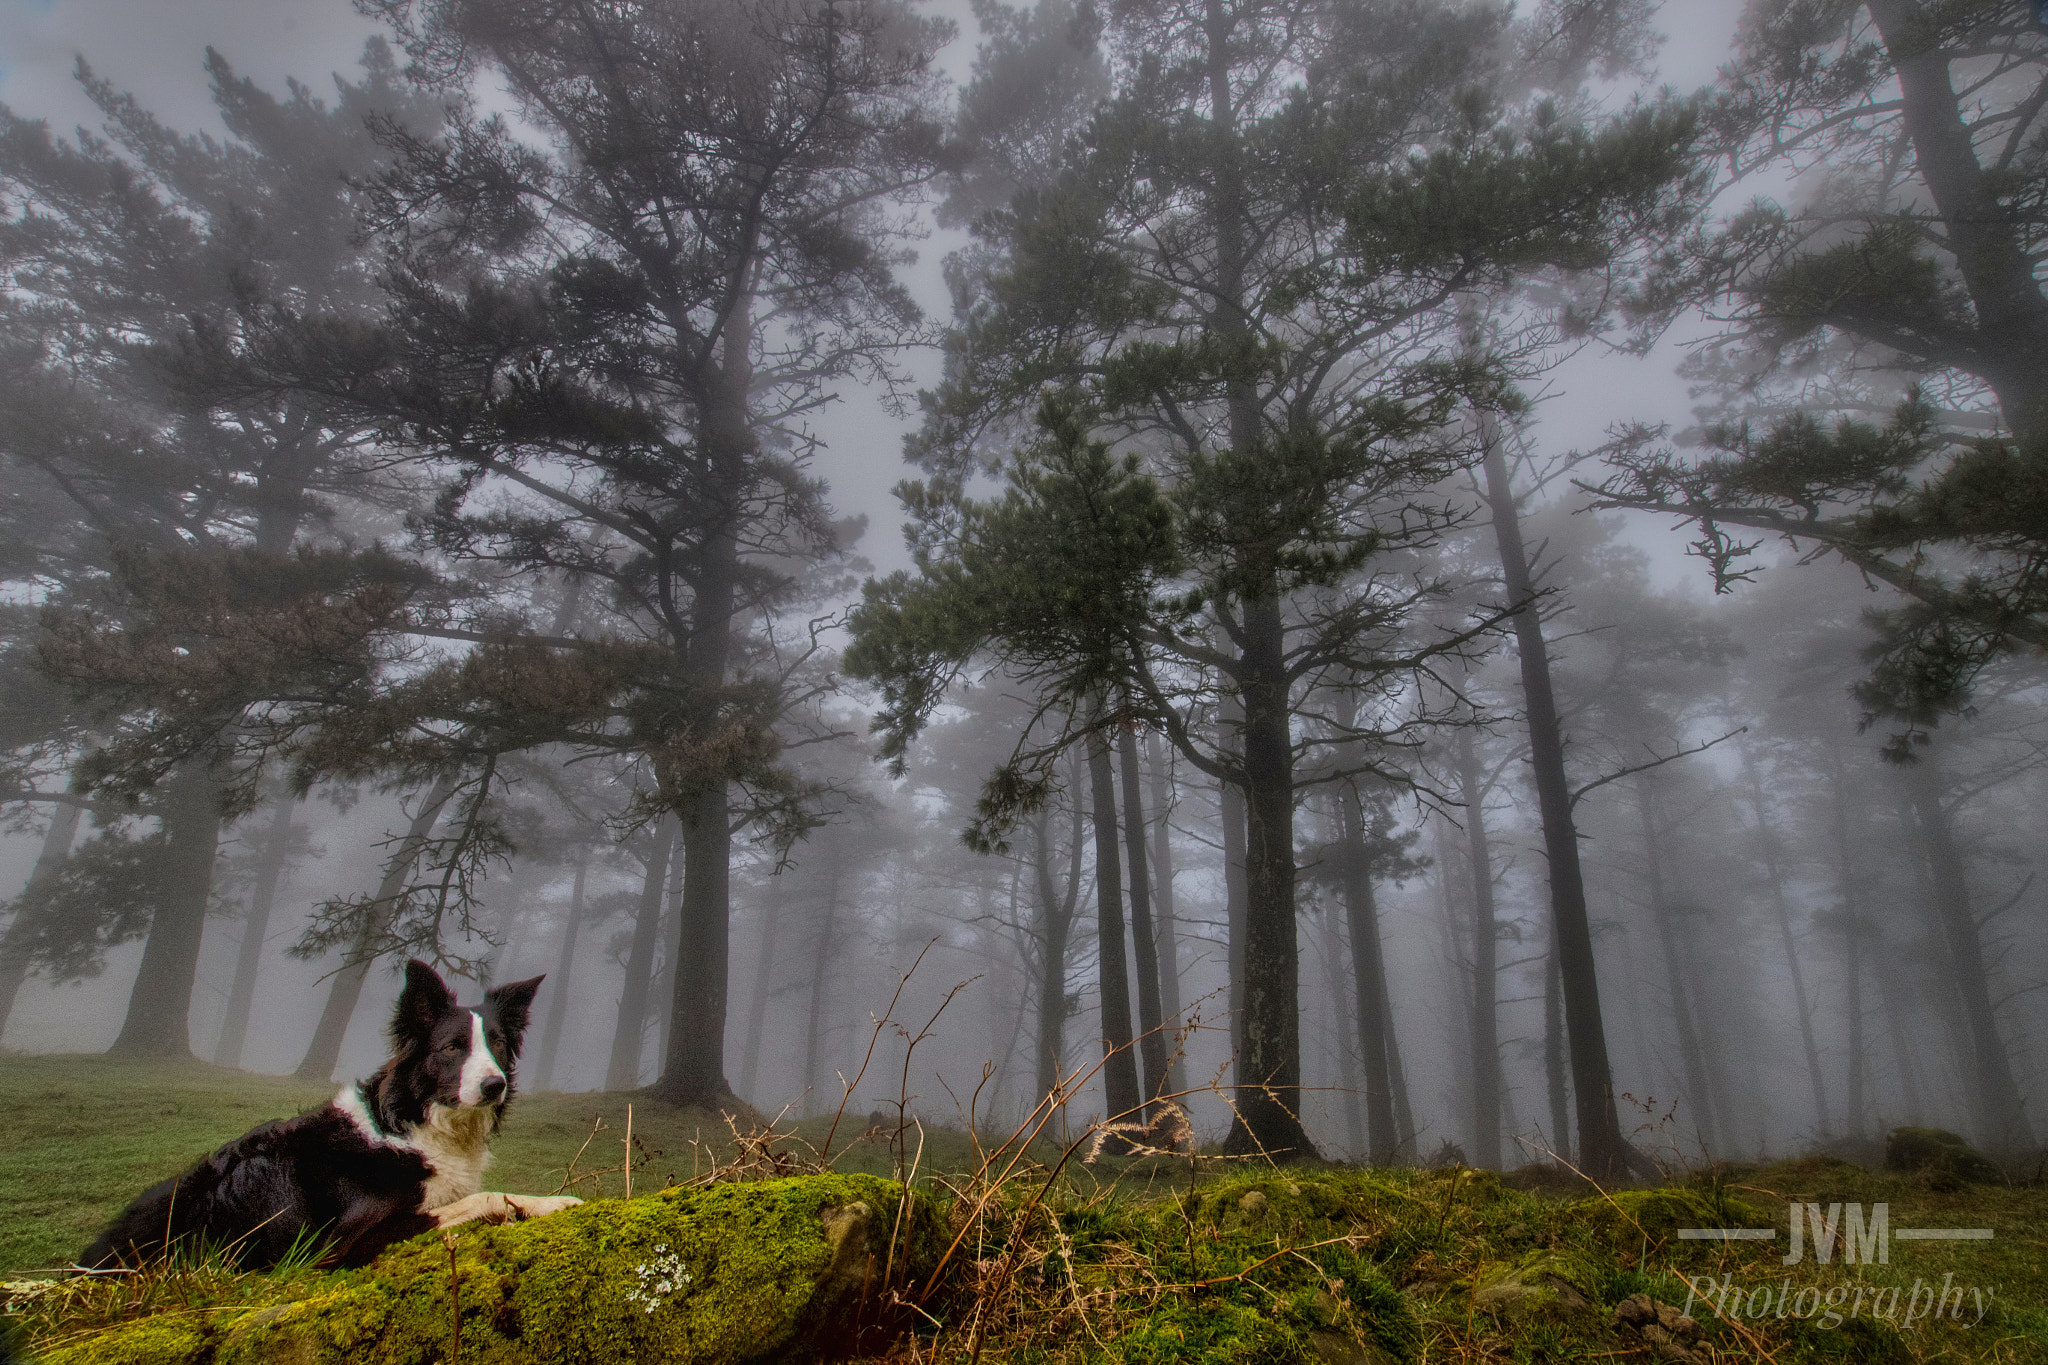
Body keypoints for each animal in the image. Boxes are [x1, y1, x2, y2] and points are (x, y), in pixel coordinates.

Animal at [76, 961, 581, 1268]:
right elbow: (480, 1197)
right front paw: (522, 1207)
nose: (495, 1085)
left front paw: (550, 1203)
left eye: (498, 1045)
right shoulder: (339, 1246)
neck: (415, 1126)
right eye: (452, 1048)